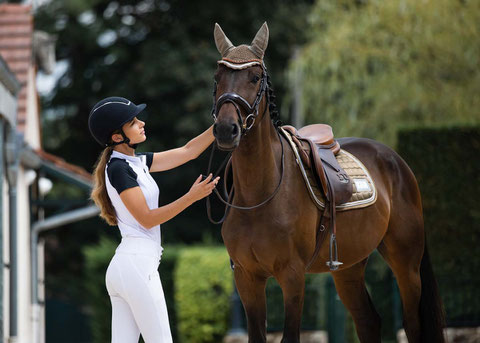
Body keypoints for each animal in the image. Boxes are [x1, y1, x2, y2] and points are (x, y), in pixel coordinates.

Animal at [210, 22, 446, 343]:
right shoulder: (247, 277)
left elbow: (290, 335)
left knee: (412, 325)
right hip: (348, 268)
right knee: (368, 321)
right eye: (218, 77)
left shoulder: (292, 276)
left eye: (254, 77)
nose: (225, 129)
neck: (259, 195)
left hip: (406, 263)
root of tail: (396, 161)